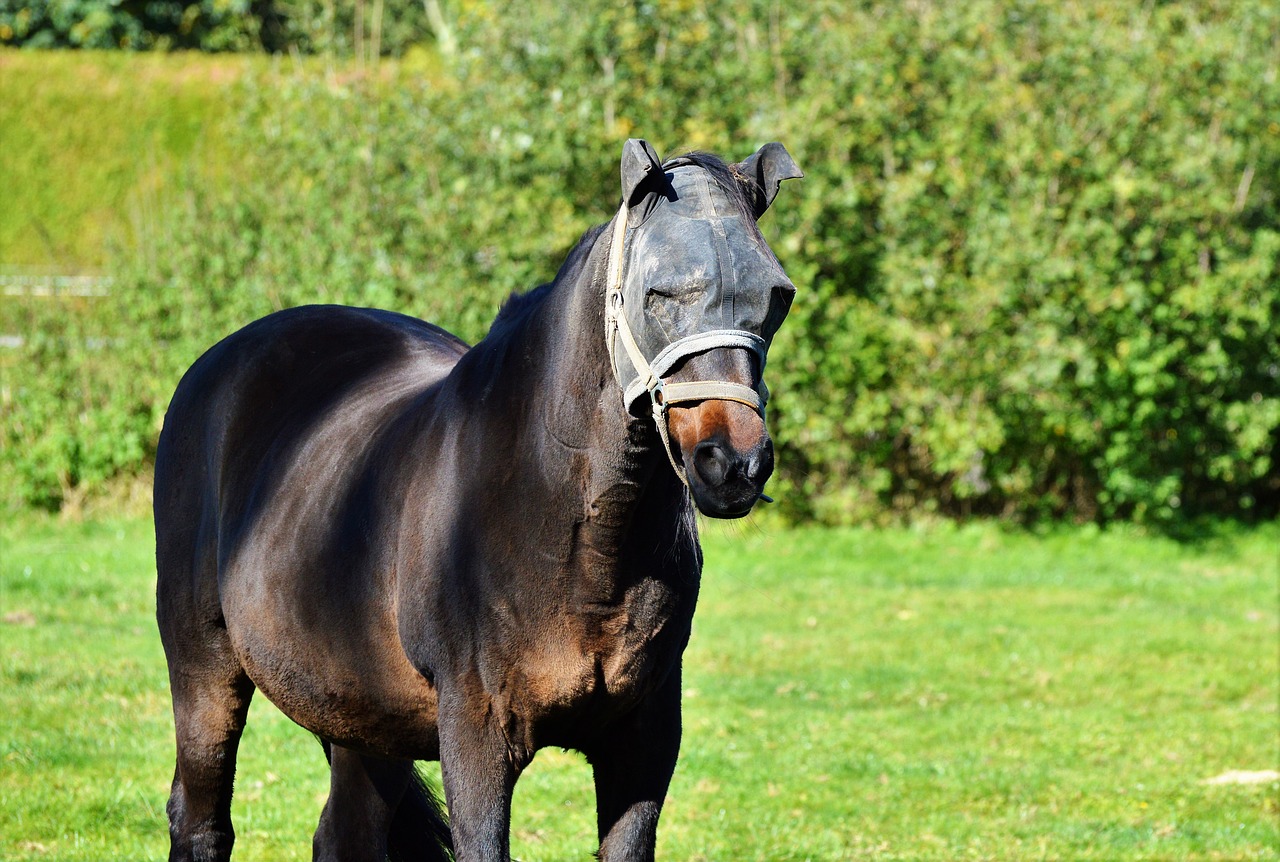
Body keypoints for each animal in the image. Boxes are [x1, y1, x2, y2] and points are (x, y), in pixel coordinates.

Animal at [154, 137, 803, 855]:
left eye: (778, 297)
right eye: (657, 291)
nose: (734, 463)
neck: (577, 533)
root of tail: (217, 363)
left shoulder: (643, 742)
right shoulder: (477, 735)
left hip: (364, 717)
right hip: (205, 667)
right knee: (200, 818)